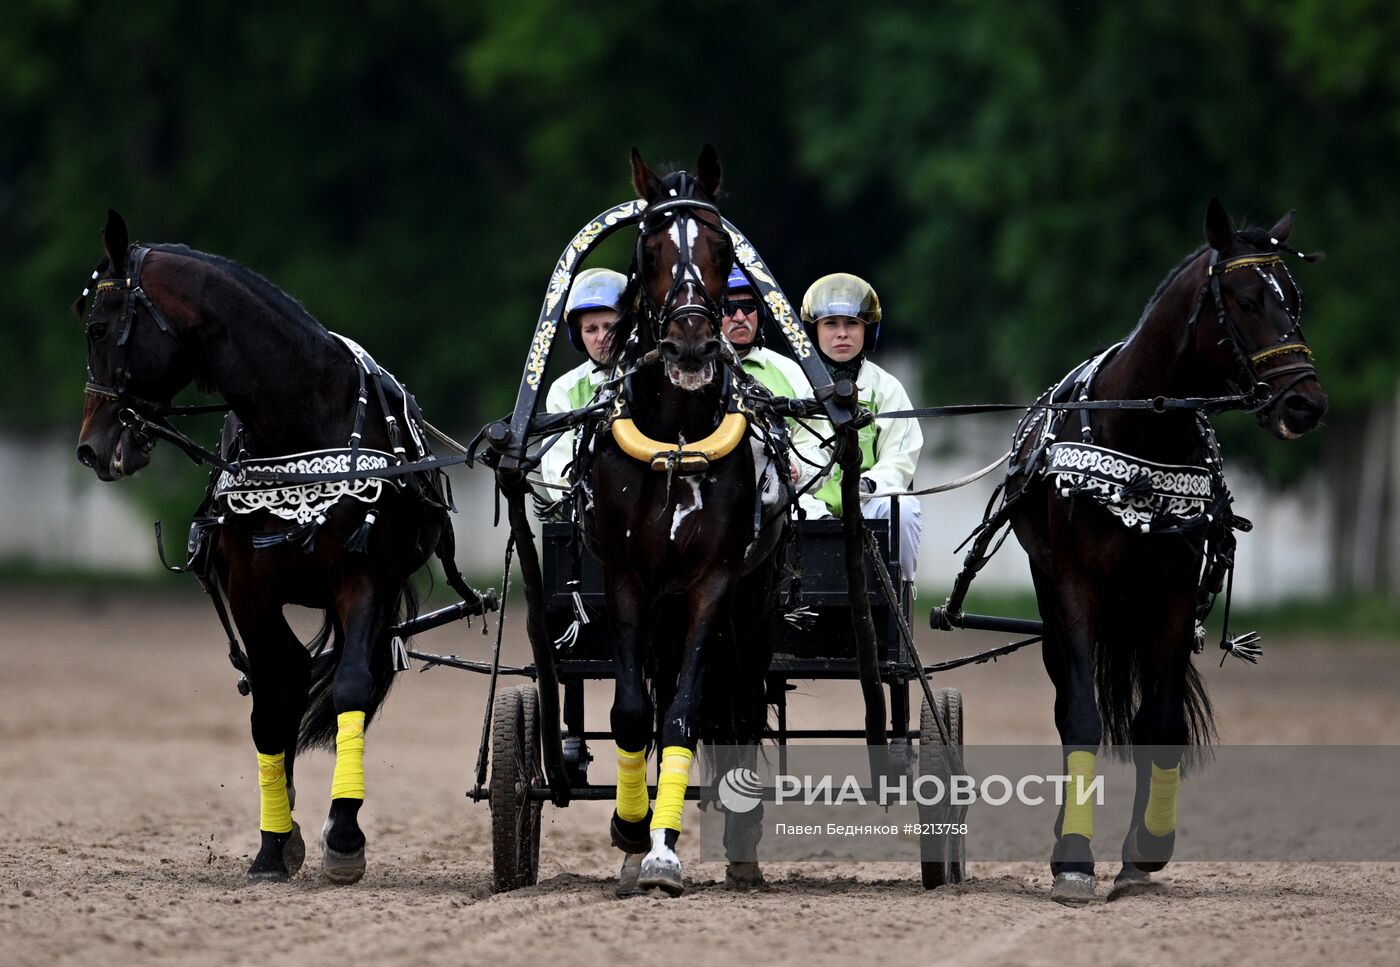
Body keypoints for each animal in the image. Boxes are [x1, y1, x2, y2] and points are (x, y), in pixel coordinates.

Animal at [73, 209, 478, 884]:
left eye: (100, 328)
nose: (93, 448)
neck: (300, 424)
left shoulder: (363, 578)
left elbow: (348, 687)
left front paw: (344, 836)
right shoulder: (250, 590)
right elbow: (270, 702)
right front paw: (272, 844)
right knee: (288, 676)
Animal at [579, 145, 795, 901]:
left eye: (721, 244)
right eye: (649, 248)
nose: (693, 343)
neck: (675, 440)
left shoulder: (713, 583)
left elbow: (683, 714)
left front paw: (665, 856)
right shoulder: (626, 579)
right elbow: (631, 714)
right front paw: (630, 830)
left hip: (752, 605)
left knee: (741, 703)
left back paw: (743, 848)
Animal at [1008, 200, 1321, 906]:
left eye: (1294, 300)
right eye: (1246, 300)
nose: (1305, 403)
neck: (1138, 437)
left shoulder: (1173, 595)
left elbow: (1159, 721)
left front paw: (1143, 853)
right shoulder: (1072, 586)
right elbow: (1081, 714)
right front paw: (1073, 861)